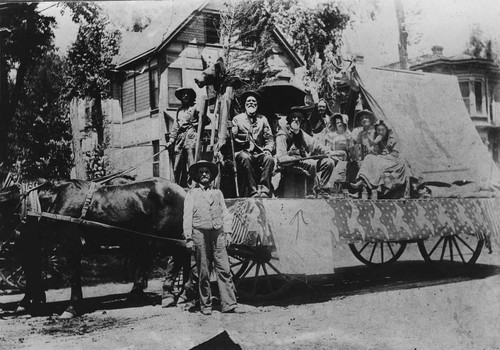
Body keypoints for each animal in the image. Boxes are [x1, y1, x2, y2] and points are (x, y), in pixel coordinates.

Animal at [0, 179, 189, 318]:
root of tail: (183, 191)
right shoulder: (35, 245)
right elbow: (33, 271)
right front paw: (31, 302)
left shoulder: (70, 244)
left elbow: (73, 275)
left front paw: (71, 308)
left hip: (168, 238)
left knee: (178, 258)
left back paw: (170, 295)